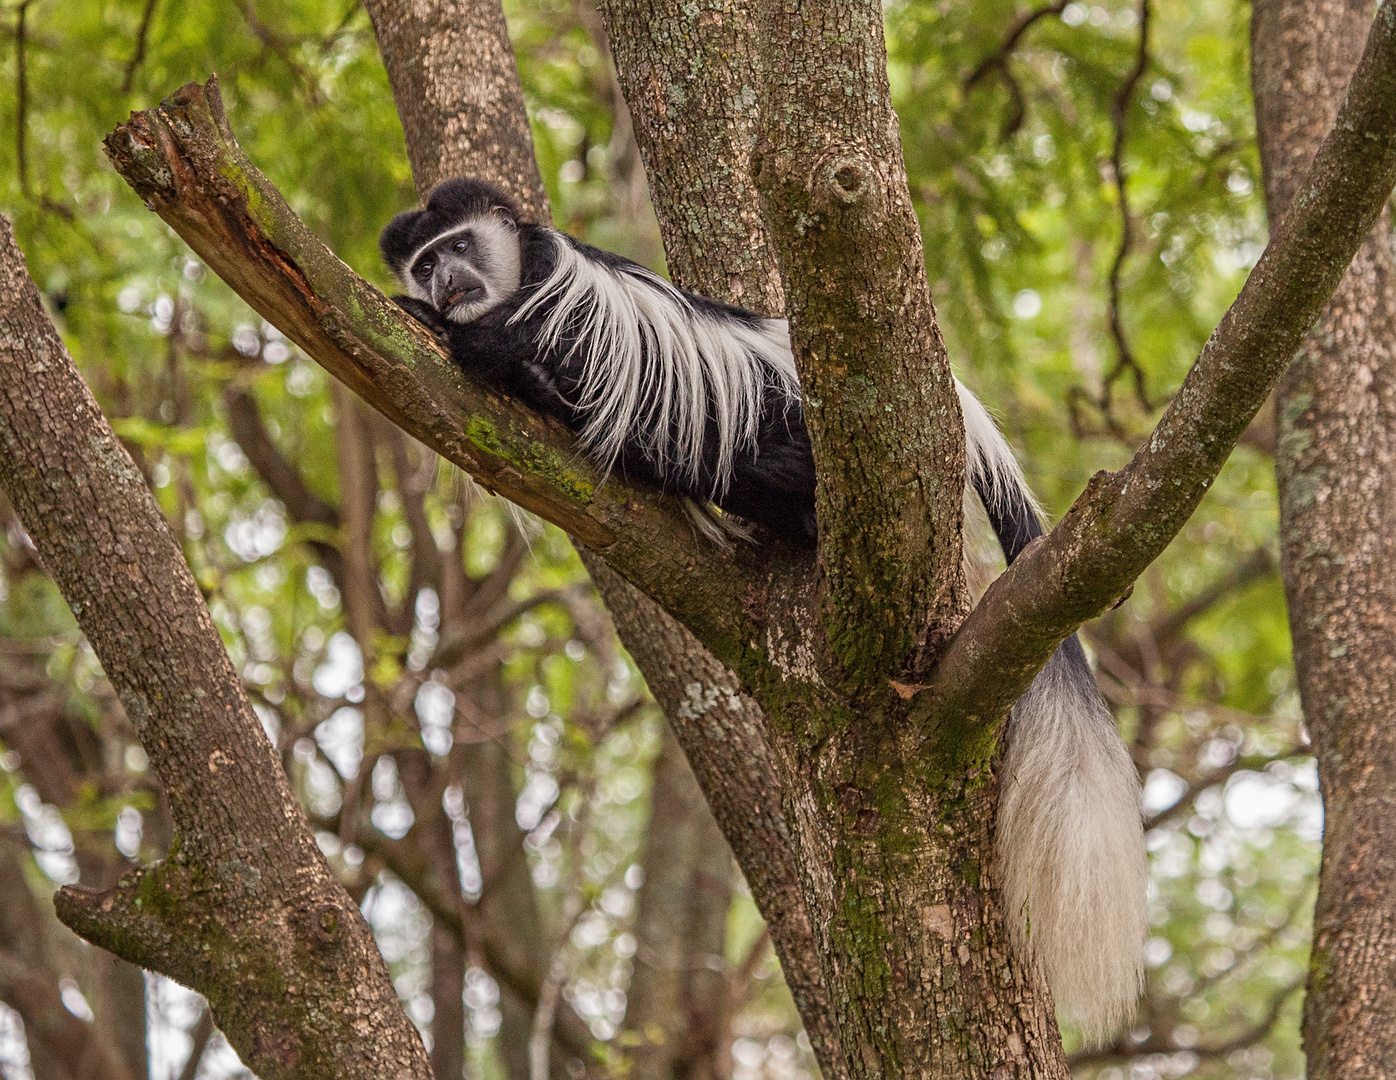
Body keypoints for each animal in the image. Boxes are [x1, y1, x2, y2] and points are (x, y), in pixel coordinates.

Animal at [382, 181, 1144, 1043]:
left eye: (459, 248)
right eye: (425, 260)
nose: (446, 284)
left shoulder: (568, 292)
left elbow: (529, 341)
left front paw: (458, 335)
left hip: (782, 417)